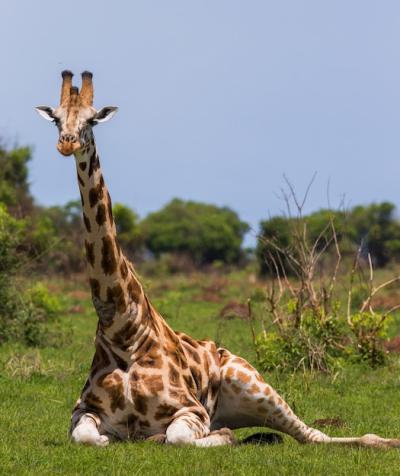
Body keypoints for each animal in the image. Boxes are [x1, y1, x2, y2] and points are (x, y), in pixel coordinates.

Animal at [36, 71, 400, 450]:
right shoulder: (82, 411)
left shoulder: (191, 409)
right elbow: (90, 438)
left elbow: (179, 438)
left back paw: (385, 441)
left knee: (312, 434)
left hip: (253, 383)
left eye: (91, 119)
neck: (123, 328)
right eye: (57, 119)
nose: (67, 144)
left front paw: (218, 436)